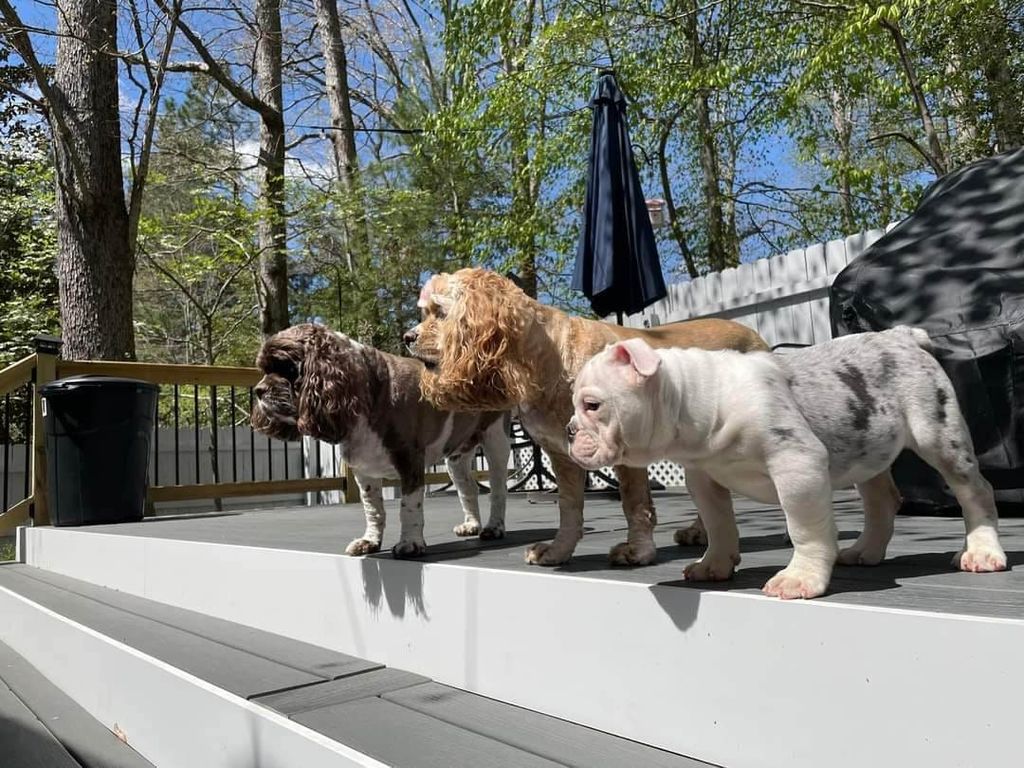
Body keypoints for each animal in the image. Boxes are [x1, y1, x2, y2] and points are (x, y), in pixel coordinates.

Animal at [569, 325, 1007, 602]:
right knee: (881, 499)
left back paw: (982, 551)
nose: (570, 431)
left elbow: (805, 529)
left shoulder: (797, 464)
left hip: (939, 433)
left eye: (592, 405)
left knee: (975, 491)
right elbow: (718, 524)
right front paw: (714, 564)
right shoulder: (703, 477)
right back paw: (864, 551)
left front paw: (800, 578)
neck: (699, 399)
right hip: (868, 450)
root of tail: (900, 336)